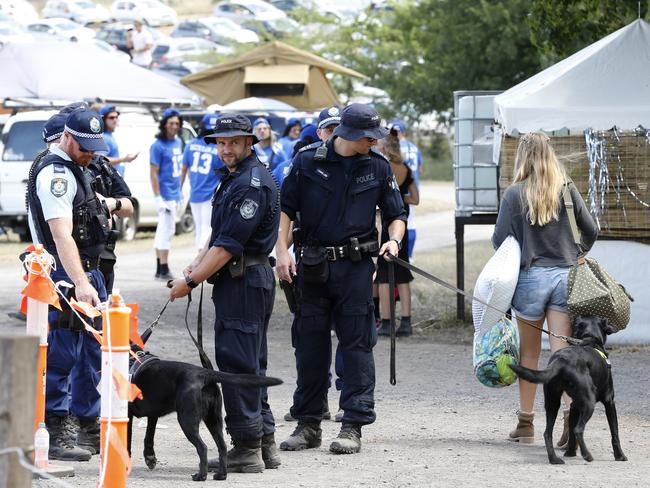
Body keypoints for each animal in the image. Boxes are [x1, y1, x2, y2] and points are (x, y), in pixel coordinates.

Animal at [126, 346, 280, 480]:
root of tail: (204, 374)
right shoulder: (153, 414)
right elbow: (149, 436)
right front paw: (150, 458)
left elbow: (128, 440)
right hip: (214, 420)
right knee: (222, 447)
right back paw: (221, 475)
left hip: (187, 420)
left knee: (202, 448)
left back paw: (201, 476)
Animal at [508, 316, 624, 466]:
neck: (590, 339)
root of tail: (560, 360)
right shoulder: (609, 402)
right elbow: (615, 432)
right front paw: (620, 456)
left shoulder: (574, 405)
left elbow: (571, 432)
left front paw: (570, 453)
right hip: (589, 402)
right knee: (578, 430)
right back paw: (587, 455)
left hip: (552, 402)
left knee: (548, 433)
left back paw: (554, 459)